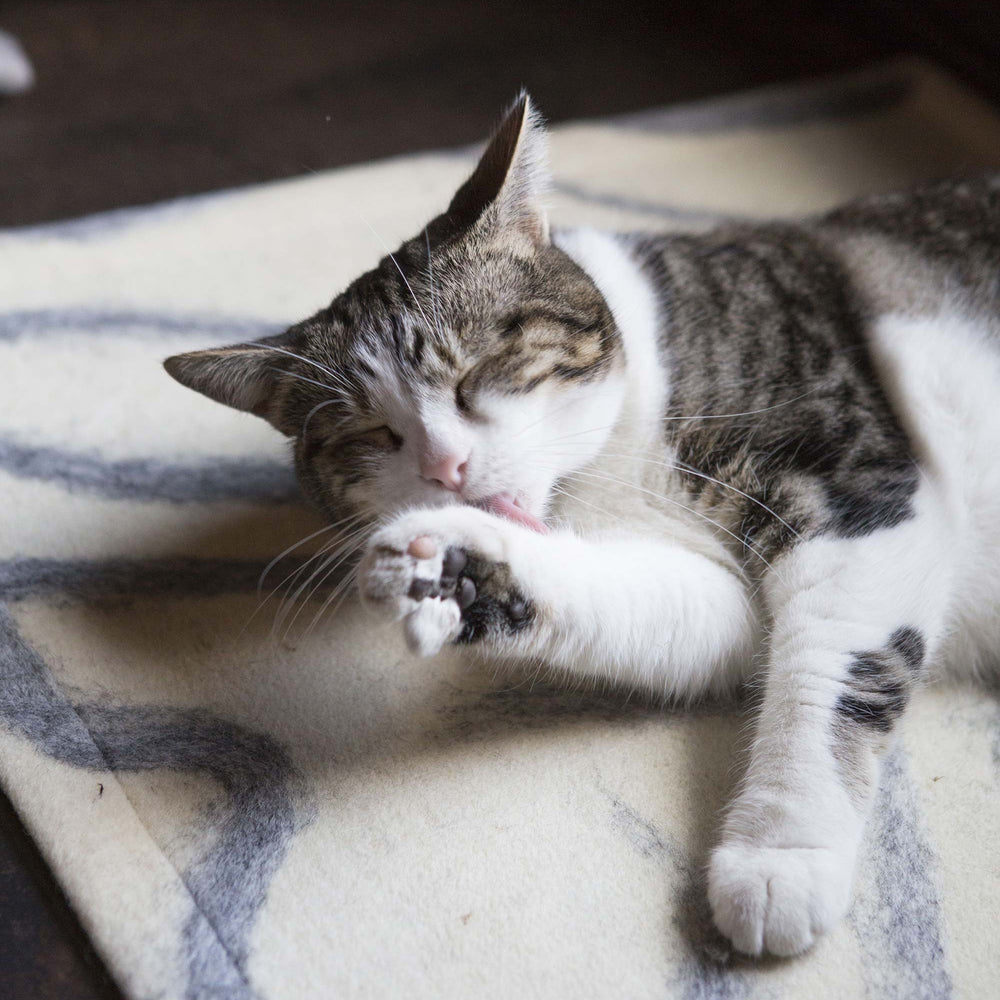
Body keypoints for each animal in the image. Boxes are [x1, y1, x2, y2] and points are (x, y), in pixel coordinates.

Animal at [164, 95, 1000, 960]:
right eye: (370, 434)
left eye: (472, 373)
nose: (446, 468)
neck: (614, 464)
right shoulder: (720, 600)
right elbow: (682, 616)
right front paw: (465, 569)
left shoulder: (855, 483)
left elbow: (826, 669)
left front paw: (781, 855)